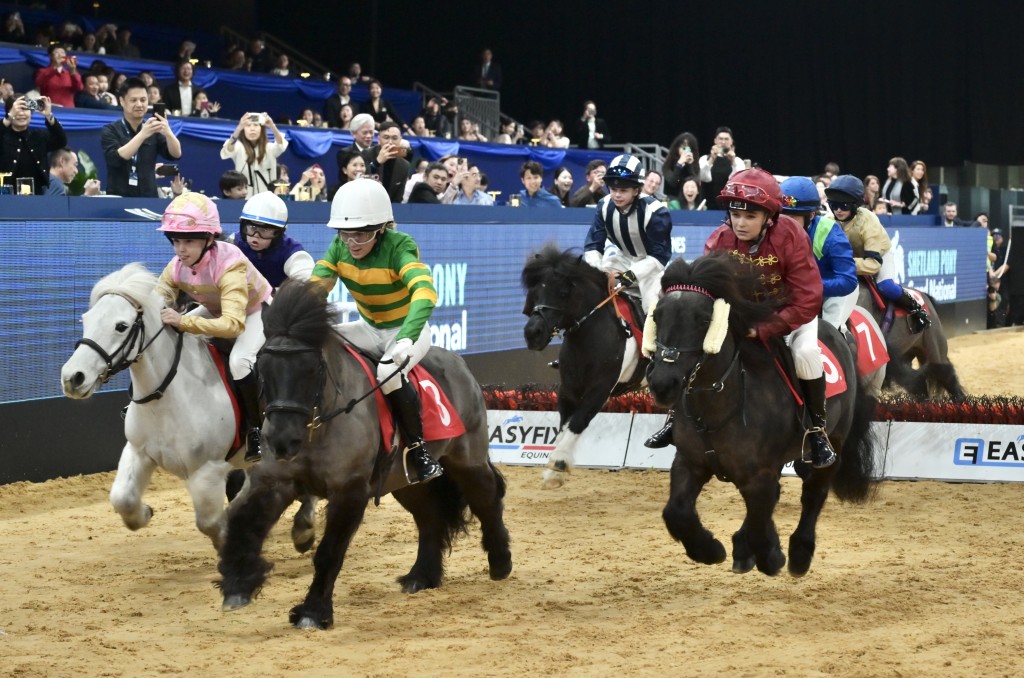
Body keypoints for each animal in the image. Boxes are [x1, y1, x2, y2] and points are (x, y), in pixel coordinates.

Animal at [220, 280, 516, 630]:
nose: (280, 441)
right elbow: (244, 523)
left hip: (466, 460)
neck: (318, 424)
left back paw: (500, 562)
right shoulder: (274, 481)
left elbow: (329, 552)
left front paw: (312, 612)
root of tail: (460, 365)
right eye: (262, 368)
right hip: (405, 480)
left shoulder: (349, 490)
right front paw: (238, 584)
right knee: (430, 517)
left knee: (486, 498)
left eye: (312, 369)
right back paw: (422, 576)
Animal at [524, 244, 643, 489]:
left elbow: (578, 421)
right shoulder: (568, 389)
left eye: (563, 293)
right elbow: (564, 424)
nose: (533, 333)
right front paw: (553, 470)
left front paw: (558, 463)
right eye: (535, 292)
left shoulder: (600, 390)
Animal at [647, 255, 872, 577]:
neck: (716, 405)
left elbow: (758, 516)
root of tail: (838, 333)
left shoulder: (759, 475)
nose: (662, 383)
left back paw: (799, 553)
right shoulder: (689, 463)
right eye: (657, 317)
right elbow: (676, 512)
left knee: (814, 493)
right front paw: (710, 550)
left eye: (703, 320)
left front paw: (770, 555)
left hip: (835, 445)